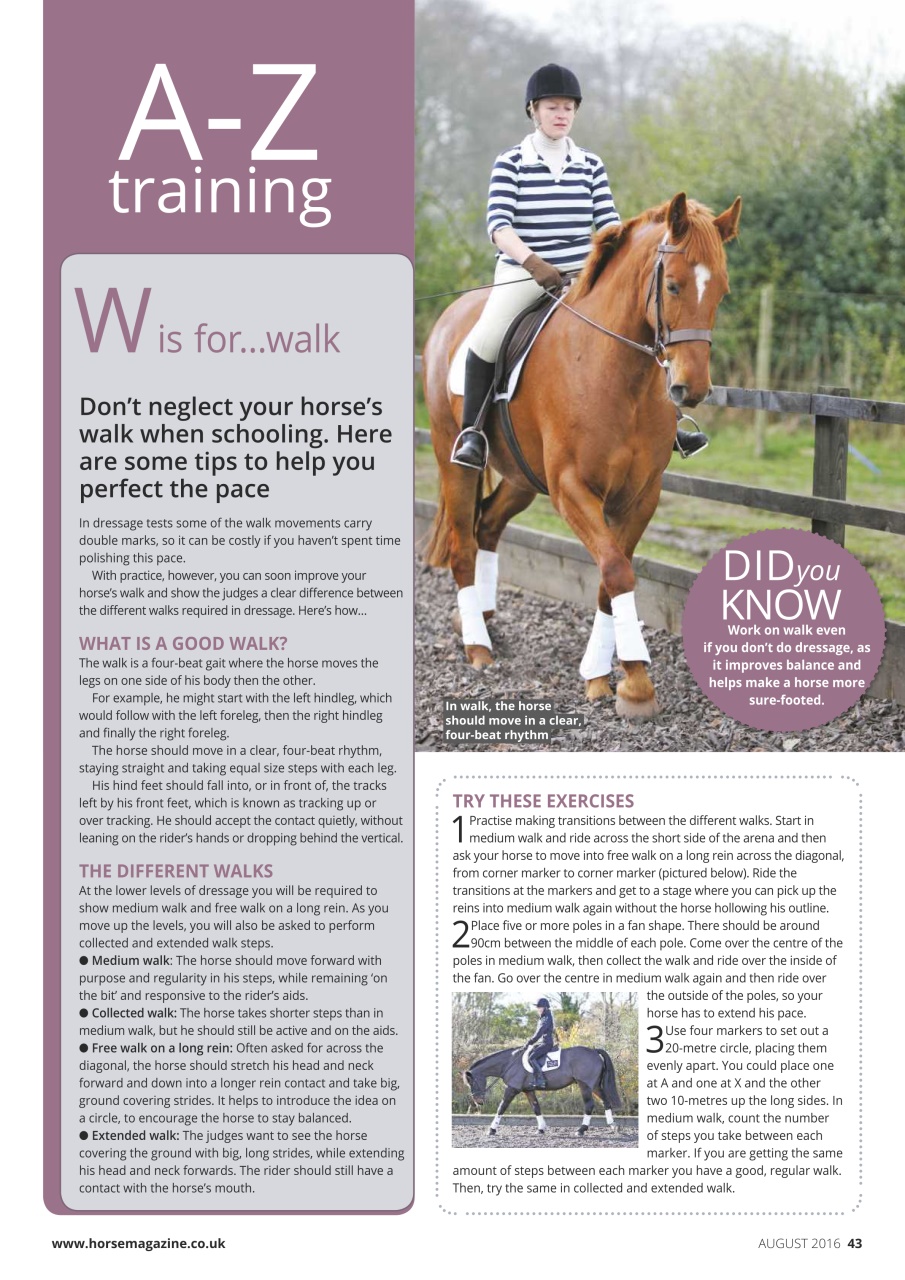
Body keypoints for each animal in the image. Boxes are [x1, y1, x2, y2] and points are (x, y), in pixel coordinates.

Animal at [423, 193, 742, 719]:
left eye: (721, 291)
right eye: (673, 285)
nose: (690, 390)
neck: (617, 373)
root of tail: (452, 316)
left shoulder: (641, 494)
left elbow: (611, 579)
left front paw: (609, 676)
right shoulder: (573, 489)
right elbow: (616, 569)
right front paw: (636, 685)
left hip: (521, 477)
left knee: (487, 526)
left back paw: (483, 619)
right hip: (456, 460)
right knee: (463, 543)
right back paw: (478, 647)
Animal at [463, 1045, 622, 1137]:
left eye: (471, 1082)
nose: (478, 1102)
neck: (509, 1063)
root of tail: (594, 1051)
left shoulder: (512, 1089)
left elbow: (501, 1107)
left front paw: (492, 1129)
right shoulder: (528, 1090)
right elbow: (536, 1108)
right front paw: (541, 1129)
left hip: (585, 1085)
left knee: (589, 1105)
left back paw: (581, 1130)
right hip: (594, 1086)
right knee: (606, 1101)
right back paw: (613, 1126)